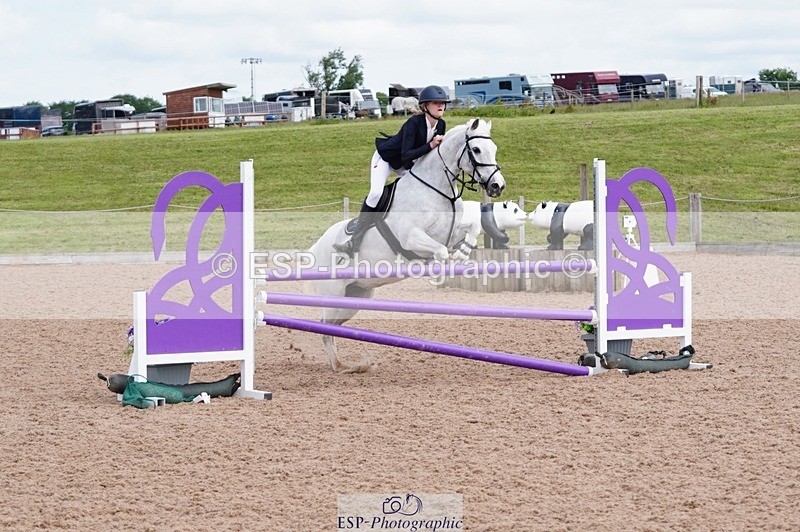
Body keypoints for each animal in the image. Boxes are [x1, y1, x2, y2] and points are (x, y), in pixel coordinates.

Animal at [307, 118, 506, 372]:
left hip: (356, 298)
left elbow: (471, 229)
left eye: (495, 149)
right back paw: (338, 366)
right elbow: (440, 251)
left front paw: (462, 253)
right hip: (333, 294)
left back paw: (343, 365)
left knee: (332, 327)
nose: (497, 186)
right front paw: (435, 267)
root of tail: (316, 247)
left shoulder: (449, 233)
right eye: (477, 149)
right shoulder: (411, 237)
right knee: (324, 328)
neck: (438, 189)